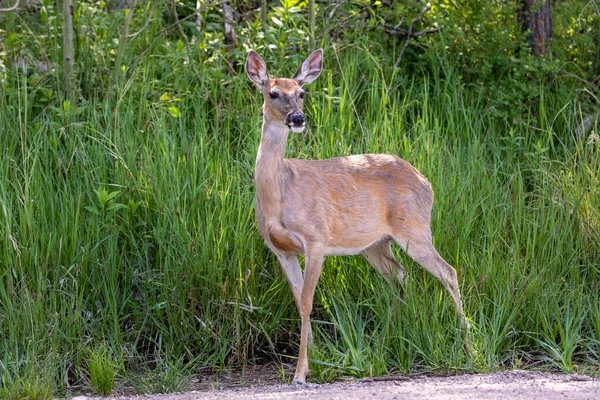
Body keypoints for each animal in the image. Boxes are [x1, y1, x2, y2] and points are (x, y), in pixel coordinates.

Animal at [245, 48, 468, 382]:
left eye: (301, 93)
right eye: (272, 93)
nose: (297, 118)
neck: (281, 192)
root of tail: (425, 180)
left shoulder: (316, 238)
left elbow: (308, 302)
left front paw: (301, 372)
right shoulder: (280, 249)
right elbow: (298, 301)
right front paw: (315, 360)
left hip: (414, 229)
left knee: (448, 272)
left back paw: (468, 346)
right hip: (375, 244)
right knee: (400, 276)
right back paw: (388, 341)